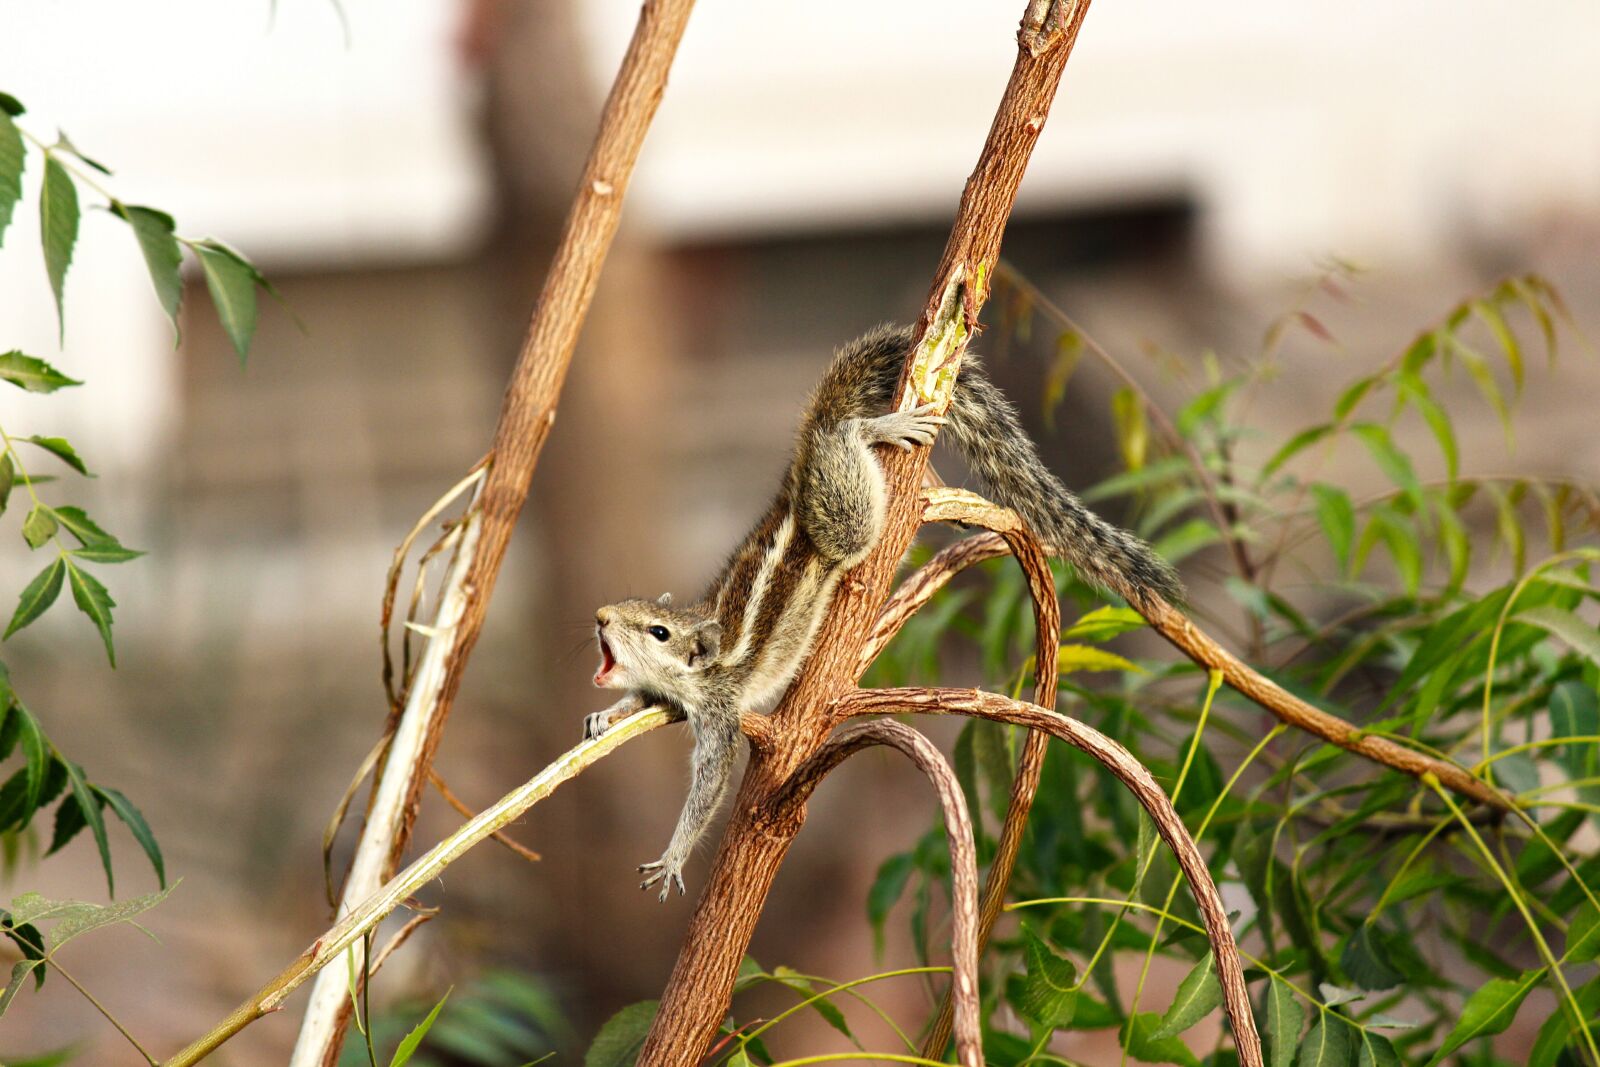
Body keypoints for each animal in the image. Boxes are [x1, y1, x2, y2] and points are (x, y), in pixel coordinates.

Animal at [584, 323, 1182, 900]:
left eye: (657, 631)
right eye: (630, 608)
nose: (600, 616)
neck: (700, 665)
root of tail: (805, 459)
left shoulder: (720, 716)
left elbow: (707, 789)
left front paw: (673, 857)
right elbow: (639, 702)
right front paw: (603, 717)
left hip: (842, 519)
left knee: (845, 444)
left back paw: (878, 430)